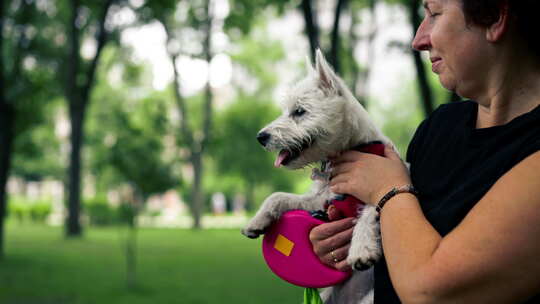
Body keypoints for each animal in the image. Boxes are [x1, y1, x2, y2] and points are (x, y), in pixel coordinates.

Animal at [243, 50, 394, 304]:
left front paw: (361, 250)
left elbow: (370, 211)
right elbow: (277, 196)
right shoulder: (319, 200)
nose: (260, 137)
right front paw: (256, 222)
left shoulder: (379, 184)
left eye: (299, 111)